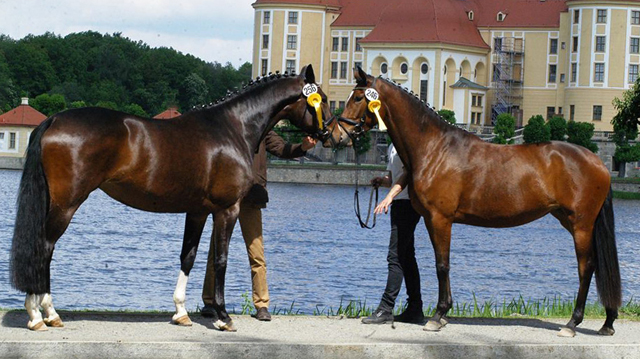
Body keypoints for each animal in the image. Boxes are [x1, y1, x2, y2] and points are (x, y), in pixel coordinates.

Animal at [10, 64, 330, 332]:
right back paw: (42, 314)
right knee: (44, 247)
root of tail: (53, 120)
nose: (329, 133)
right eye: (322, 99)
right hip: (66, 205)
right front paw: (223, 317)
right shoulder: (227, 209)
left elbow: (188, 256)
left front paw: (181, 312)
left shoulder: (198, 211)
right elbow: (221, 260)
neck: (232, 127)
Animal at [324, 67, 620, 338]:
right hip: (570, 220)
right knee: (597, 266)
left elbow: (442, 264)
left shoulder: (440, 219)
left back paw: (572, 324)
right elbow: (438, 263)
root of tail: (599, 162)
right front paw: (442, 314)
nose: (335, 135)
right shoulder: (432, 220)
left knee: (586, 267)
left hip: (580, 224)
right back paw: (607, 322)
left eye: (359, 97)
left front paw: (438, 316)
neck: (435, 148)